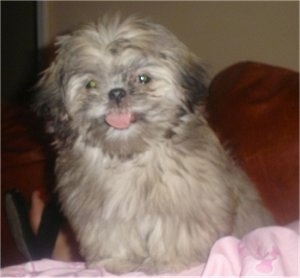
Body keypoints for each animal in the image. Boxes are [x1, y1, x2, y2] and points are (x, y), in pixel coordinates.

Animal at [35, 15, 274, 274]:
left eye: (143, 79)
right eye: (91, 84)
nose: (116, 93)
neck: (130, 156)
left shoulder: (186, 203)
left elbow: (176, 234)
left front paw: (169, 262)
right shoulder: (104, 213)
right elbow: (112, 236)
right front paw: (116, 261)